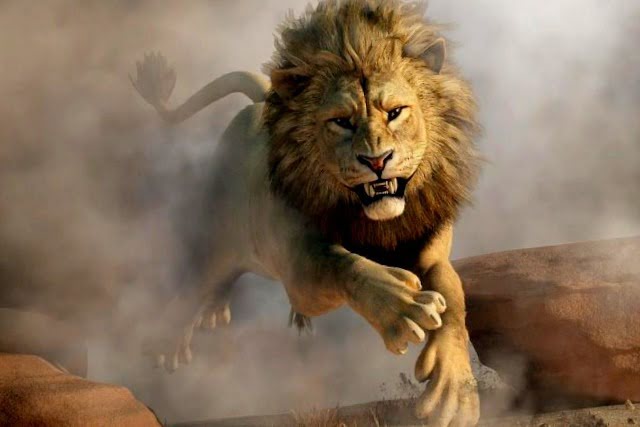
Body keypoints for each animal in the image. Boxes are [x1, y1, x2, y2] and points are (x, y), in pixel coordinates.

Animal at [131, 1, 481, 425]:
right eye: (341, 121)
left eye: (395, 112)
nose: (377, 161)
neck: (372, 219)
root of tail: (258, 103)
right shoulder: (300, 271)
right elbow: (341, 264)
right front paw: (404, 308)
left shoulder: (432, 254)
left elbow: (455, 300)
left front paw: (455, 394)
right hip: (216, 229)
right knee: (197, 274)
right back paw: (170, 340)